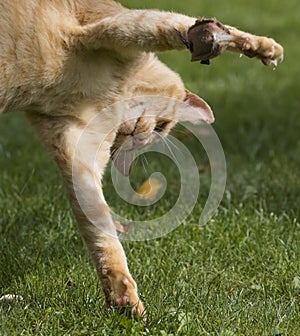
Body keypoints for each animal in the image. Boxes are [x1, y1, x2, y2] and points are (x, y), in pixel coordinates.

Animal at [1, 0, 284, 316]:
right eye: (162, 127)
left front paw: (122, 293)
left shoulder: (76, 149)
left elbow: (97, 222)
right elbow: (171, 25)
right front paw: (261, 47)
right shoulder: (118, 22)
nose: (143, 140)